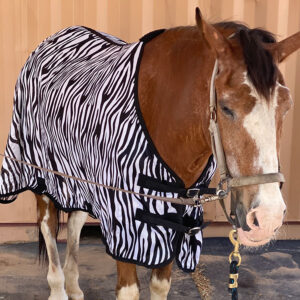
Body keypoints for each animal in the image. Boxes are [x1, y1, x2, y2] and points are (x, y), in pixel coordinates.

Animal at [0, 7, 298, 300]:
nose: (267, 219)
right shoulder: (123, 221)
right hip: (40, 174)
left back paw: (74, 288)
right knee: (48, 226)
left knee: (75, 223)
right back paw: (59, 289)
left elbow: (160, 285)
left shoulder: (174, 221)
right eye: (226, 107)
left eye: (286, 107)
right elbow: (129, 290)